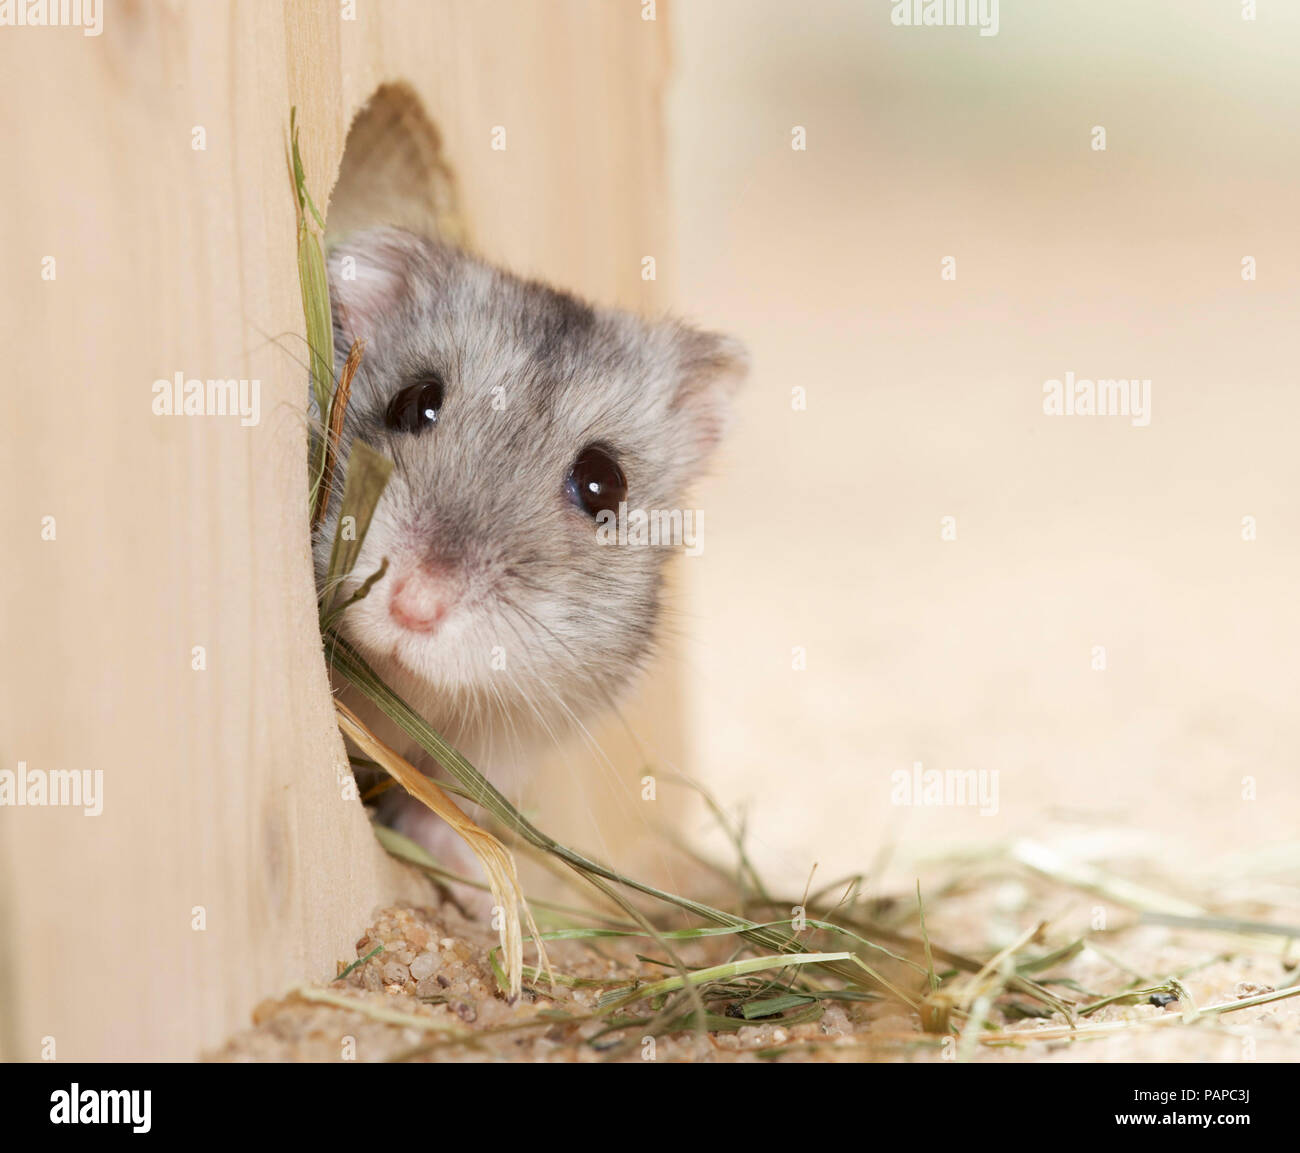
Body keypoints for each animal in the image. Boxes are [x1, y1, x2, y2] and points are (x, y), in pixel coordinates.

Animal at [309, 224, 748, 899]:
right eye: (412, 402)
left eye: (603, 484)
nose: (413, 605)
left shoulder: (514, 736)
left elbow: (452, 804)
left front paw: (473, 884)